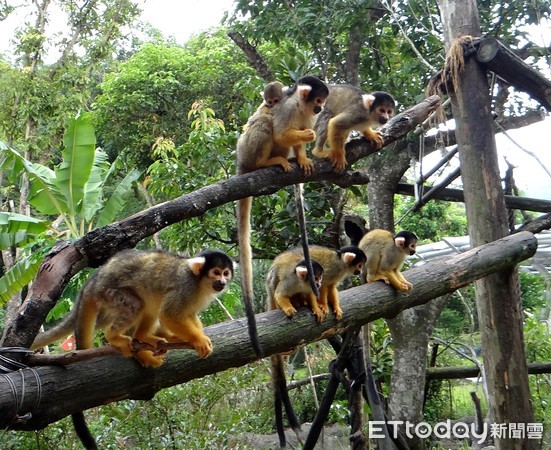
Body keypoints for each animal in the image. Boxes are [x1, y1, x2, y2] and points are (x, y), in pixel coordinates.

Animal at [236, 76, 330, 356]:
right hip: (246, 150)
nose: (321, 108)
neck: (300, 106)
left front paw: (303, 156)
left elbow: (297, 140)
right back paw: (265, 162)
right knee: (265, 125)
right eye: (318, 99)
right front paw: (305, 135)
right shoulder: (287, 109)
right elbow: (280, 131)